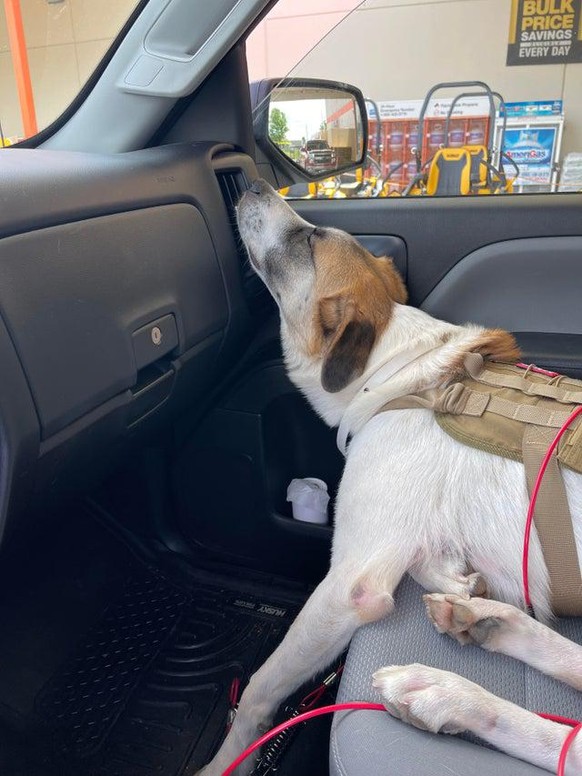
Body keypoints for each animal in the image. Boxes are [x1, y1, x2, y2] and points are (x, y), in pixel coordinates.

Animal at [201, 179, 582, 772]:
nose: (254, 183)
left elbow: (261, 689)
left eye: (310, 239)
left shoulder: (351, 588)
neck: (396, 372)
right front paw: (456, 579)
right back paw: (487, 620)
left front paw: (226, 759)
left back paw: (443, 694)